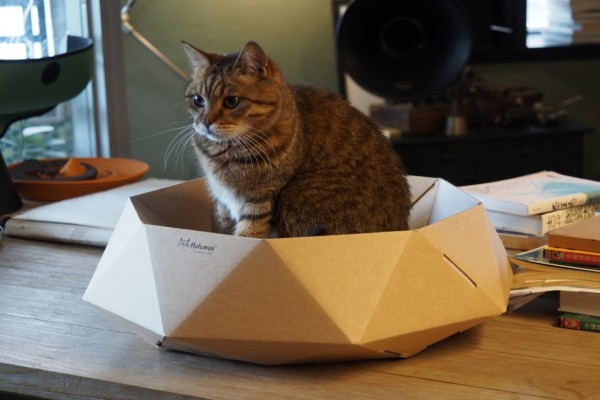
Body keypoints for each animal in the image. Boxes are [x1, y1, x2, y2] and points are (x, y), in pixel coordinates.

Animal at [182, 40, 411, 238]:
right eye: (197, 100)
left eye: (232, 101)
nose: (205, 122)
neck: (224, 152)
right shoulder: (222, 200)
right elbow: (223, 228)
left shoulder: (260, 198)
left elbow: (249, 234)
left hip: (296, 195)